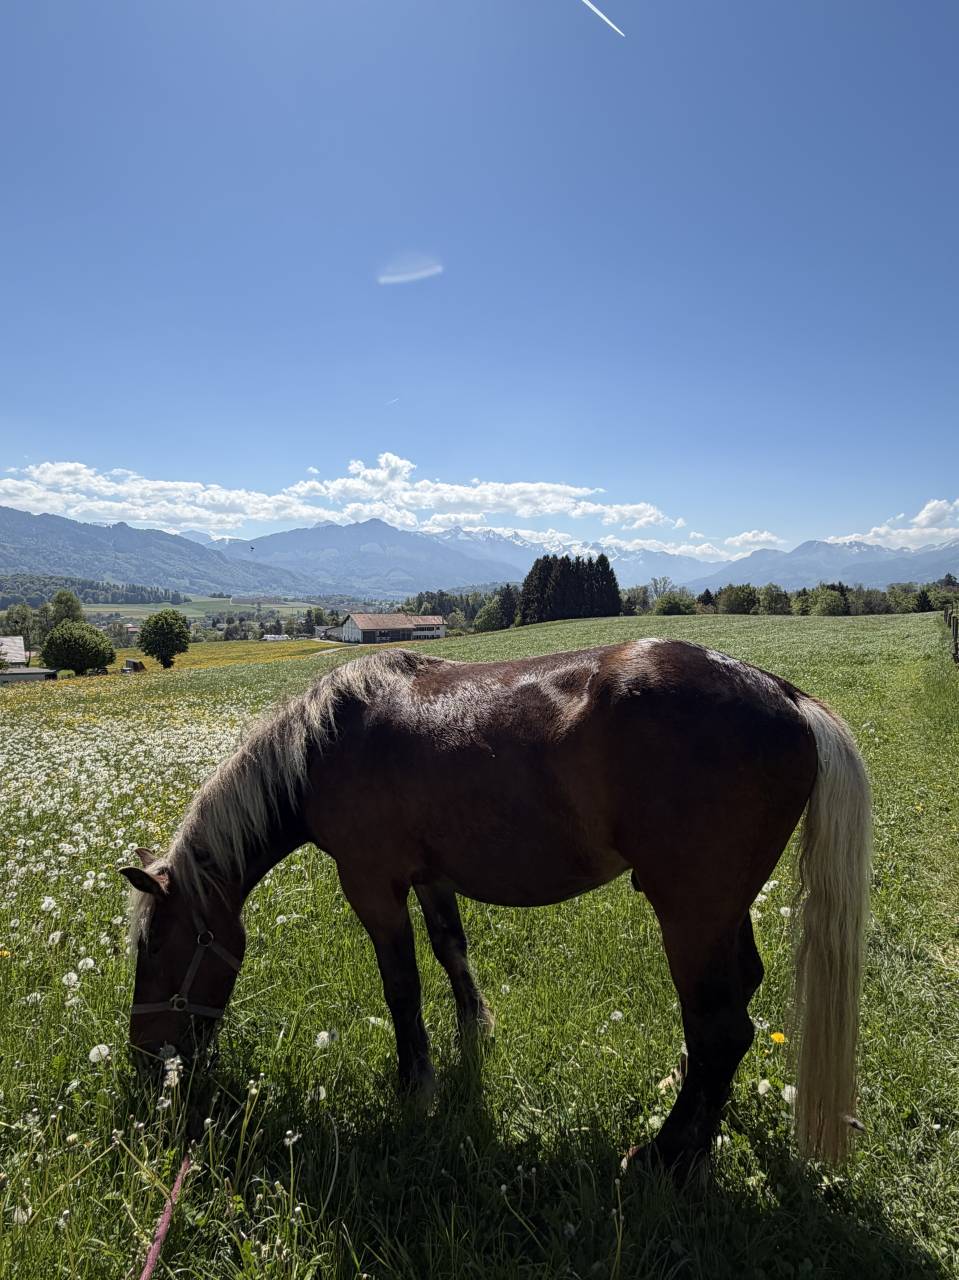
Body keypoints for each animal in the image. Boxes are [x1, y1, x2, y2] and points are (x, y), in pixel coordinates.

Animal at [122, 637, 871, 1170]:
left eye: (156, 948)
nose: (145, 1058)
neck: (327, 743)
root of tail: (784, 694)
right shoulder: (431, 876)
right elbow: (450, 951)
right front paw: (472, 1033)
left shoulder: (371, 883)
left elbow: (401, 985)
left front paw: (415, 1085)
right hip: (721, 912)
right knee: (735, 1005)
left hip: (691, 912)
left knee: (721, 1025)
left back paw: (667, 1155)